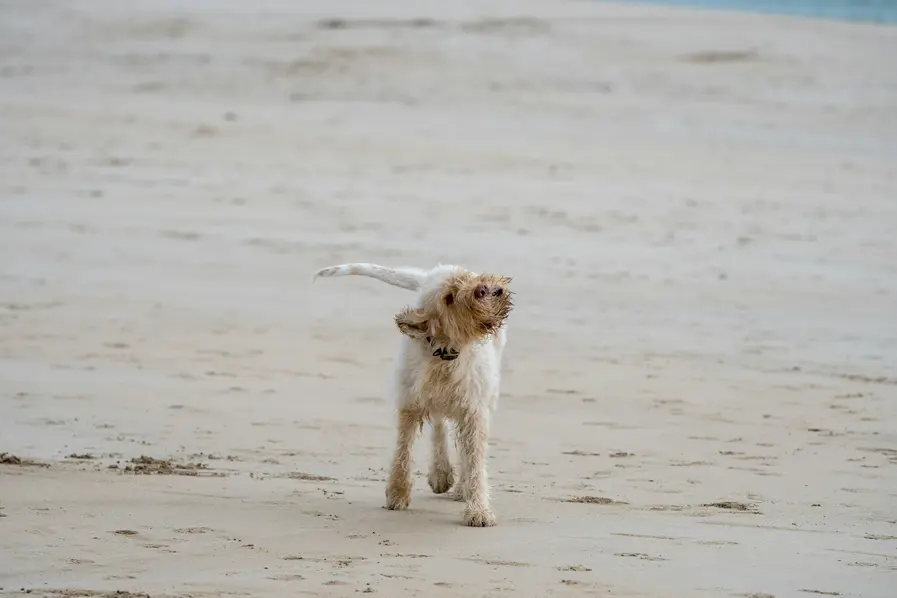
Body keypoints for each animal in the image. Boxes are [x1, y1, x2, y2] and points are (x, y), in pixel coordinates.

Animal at [314, 264, 516, 528]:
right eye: (449, 298)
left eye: (468, 277)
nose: (484, 288)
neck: (445, 354)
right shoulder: (409, 403)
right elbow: (403, 449)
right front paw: (397, 493)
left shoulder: (474, 412)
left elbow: (475, 462)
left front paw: (478, 510)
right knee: (439, 425)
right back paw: (441, 473)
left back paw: (458, 486)